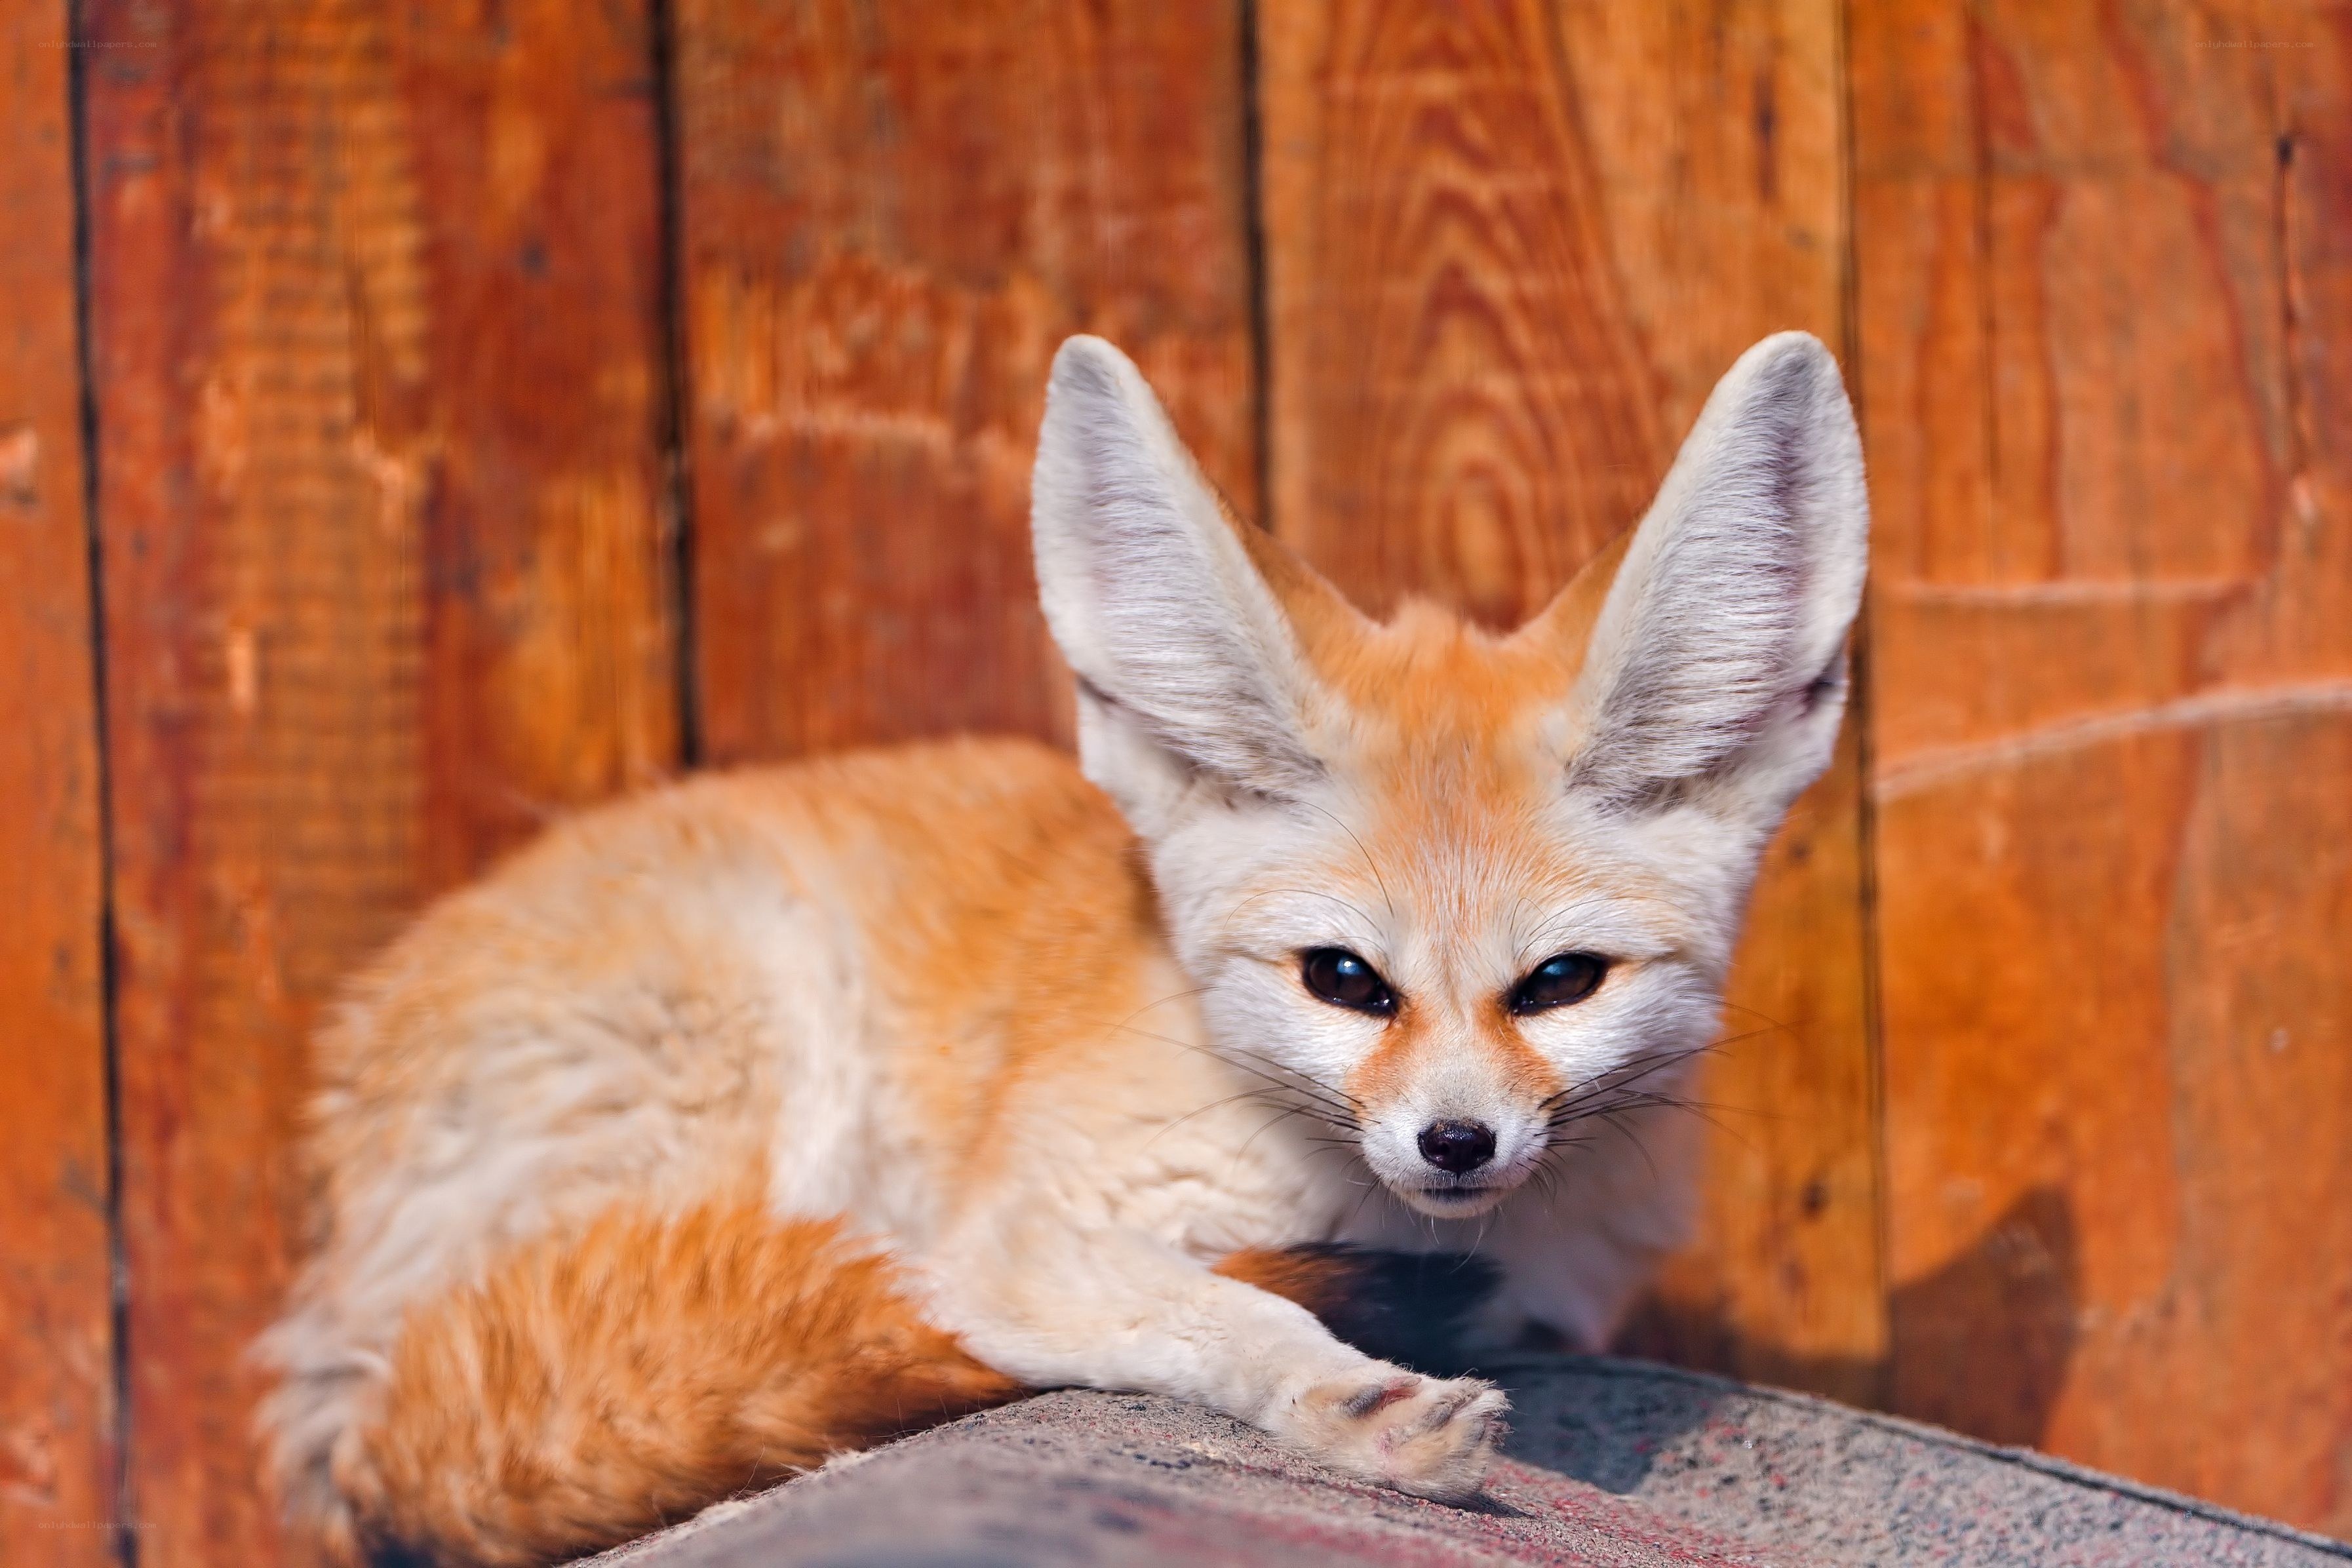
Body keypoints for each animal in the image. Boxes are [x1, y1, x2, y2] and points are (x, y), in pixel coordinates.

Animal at [256, 330, 1867, 1565]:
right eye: (1345, 979)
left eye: (1557, 983)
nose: (1455, 1143)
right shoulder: (1011, 1238)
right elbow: (1219, 1311)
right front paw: (1356, 1404)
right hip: (751, 1070)